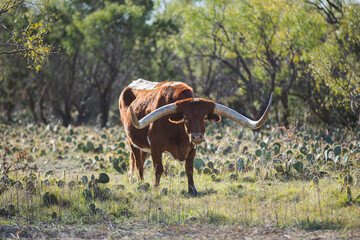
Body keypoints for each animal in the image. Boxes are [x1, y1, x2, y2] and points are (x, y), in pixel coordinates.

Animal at [119, 79, 272, 195]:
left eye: (205, 118)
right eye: (185, 118)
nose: (197, 136)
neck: (179, 133)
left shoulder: (192, 148)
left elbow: (189, 169)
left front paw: (192, 190)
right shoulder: (156, 146)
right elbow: (159, 169)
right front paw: (156, 189)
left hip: (144, 147)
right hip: (132, 142)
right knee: (139, 164)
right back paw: (141, 184)